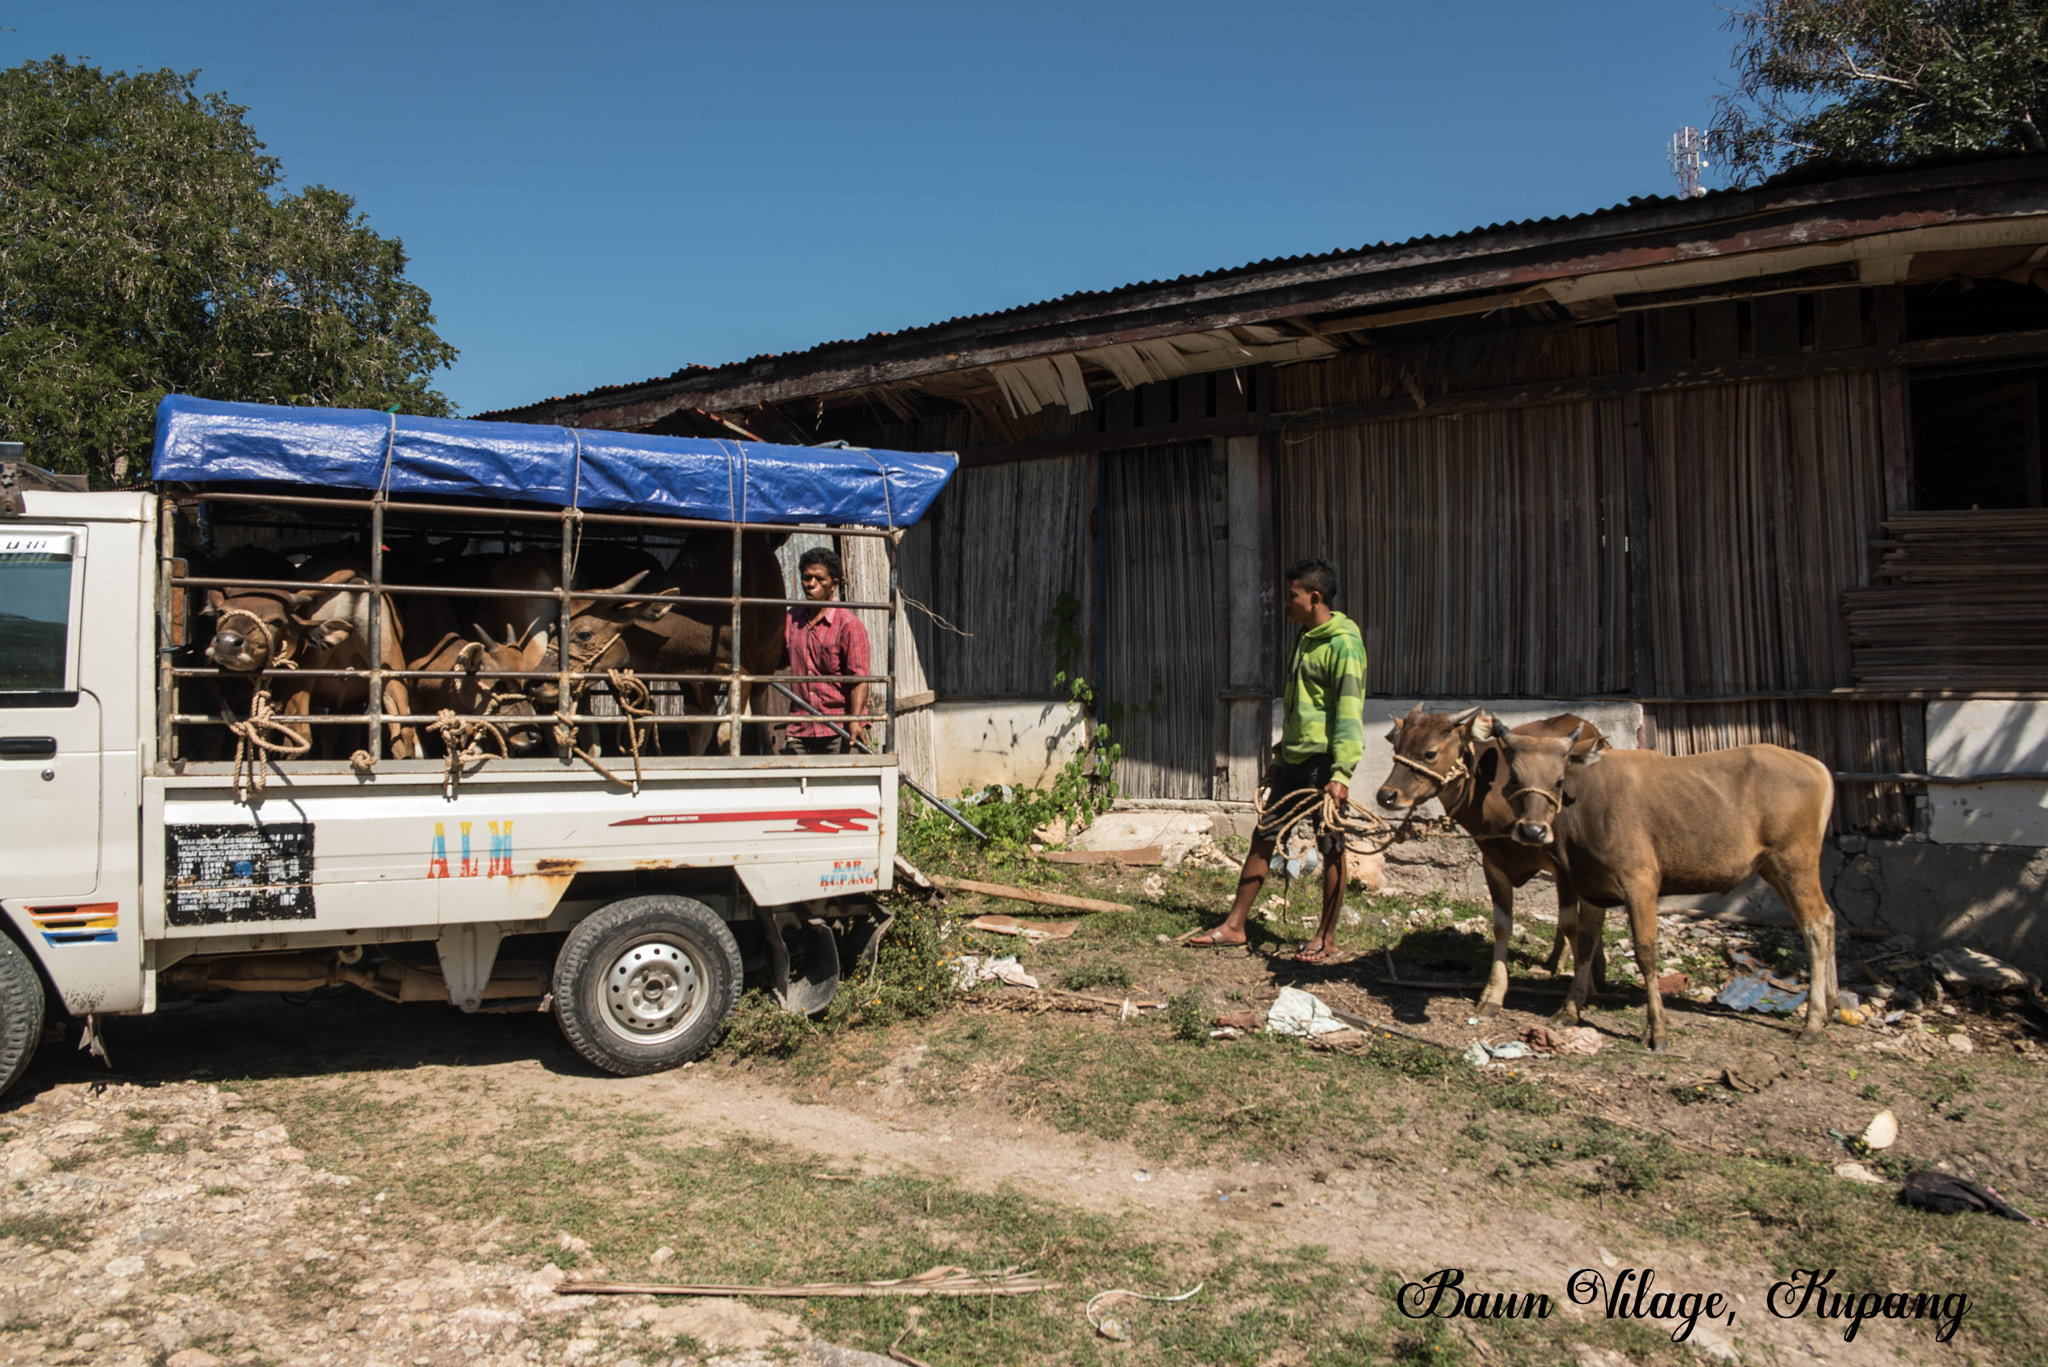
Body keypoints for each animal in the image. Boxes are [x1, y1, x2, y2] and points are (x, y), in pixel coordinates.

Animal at [1376, 705, 1613, 1016]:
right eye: (1397, 747)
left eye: (1430, 752)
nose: (1387, 795)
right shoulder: (1493, 863)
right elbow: (1502, 926)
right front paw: (1493, 994)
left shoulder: (1563, 868)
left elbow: (1573, 926)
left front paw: (1587, 993)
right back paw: (1555, 962)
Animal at [1474, 721, 1843, 1057]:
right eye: (1514, 778)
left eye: (1559, 780)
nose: (1533, 831)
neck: (1587, 807)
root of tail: (1815, 766)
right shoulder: (1591, 887)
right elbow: (1586, 944)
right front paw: (1569, 1010)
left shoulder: (1640, 883)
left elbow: (1646, 952)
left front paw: (1658, 1031)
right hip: (1773, 867)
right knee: (1825, 919)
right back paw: (1831, 1006)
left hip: (1794, 861)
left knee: (1814, 926)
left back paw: (1812, 1022)